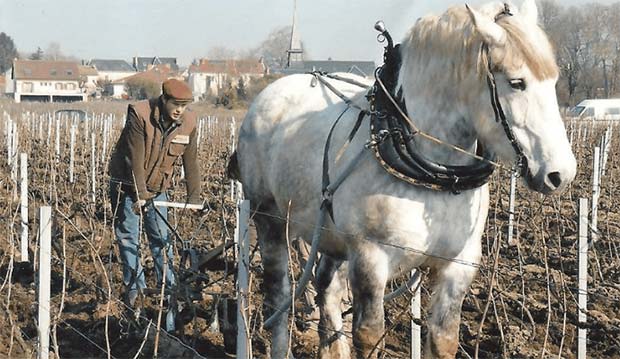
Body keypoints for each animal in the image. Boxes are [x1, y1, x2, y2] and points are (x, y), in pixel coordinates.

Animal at [232, 1, 576, 358]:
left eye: (553, 80)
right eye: (517, 82)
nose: (560, 174)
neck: (436, 177)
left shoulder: (460, 263)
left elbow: (443, 339)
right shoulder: (369, 258)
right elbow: (369, 335)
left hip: (330, 235)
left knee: (327, 289)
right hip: (269, 218)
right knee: (279, 297)